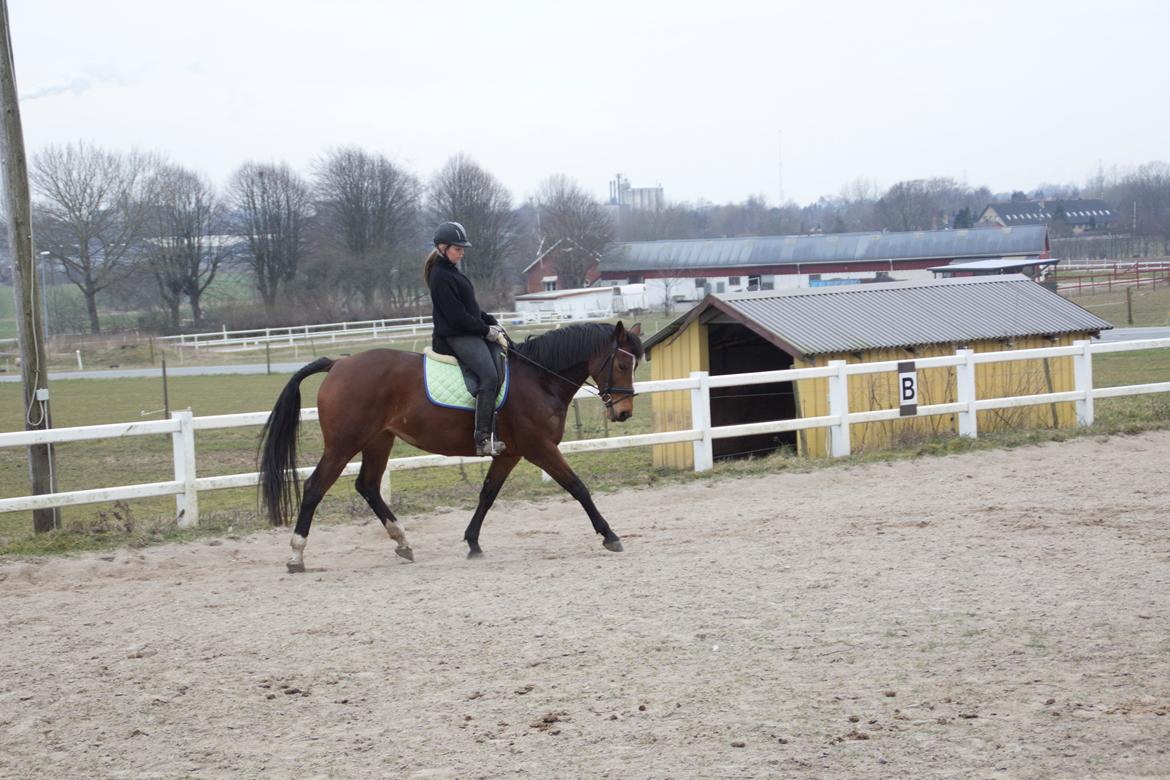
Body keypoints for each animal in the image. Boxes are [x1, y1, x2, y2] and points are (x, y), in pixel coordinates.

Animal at [257, 320, 645, 570]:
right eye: (622, 363)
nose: (624, 412)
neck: (539, 379)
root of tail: (338, 363)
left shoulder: (511, 452)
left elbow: (487, 494)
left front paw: (472, 542)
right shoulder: (539, 448)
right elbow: (577, 487)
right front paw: (610, 535)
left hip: (378, 441)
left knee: (367, 486)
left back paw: (402, 542)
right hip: (343, 444)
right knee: (314, 487)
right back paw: (296, 555)